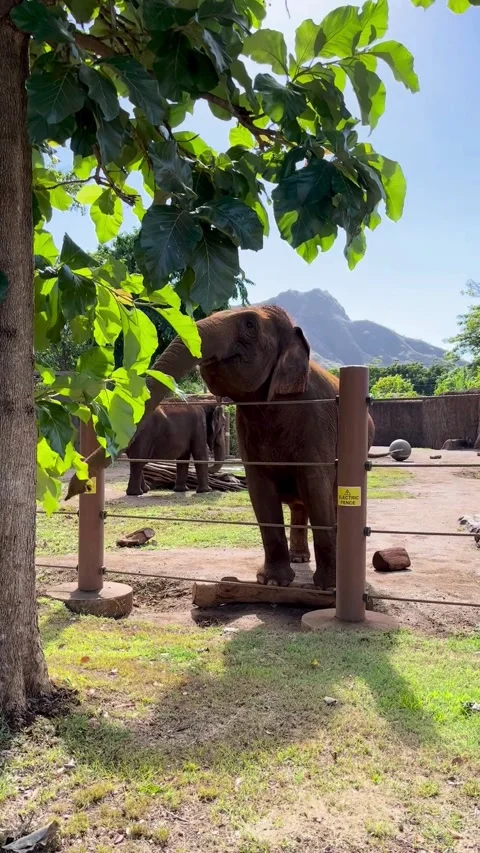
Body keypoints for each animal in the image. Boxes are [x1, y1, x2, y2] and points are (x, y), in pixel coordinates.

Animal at [68, 305, 374, 589]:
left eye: (249, 324)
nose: (73, 488)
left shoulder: (317, 422)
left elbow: (316, 487)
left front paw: (329, 587)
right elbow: (260, 492)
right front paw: (272, 582)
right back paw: (299, 559)